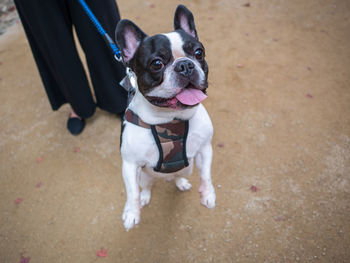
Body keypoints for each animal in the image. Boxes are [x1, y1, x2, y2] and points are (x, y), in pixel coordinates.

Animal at [116, 4, 215, 231]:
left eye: (198, 53)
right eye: (156, 64)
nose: (185, 65)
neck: (170, 119)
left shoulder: (205, 148)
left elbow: (206, 174)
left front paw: (208, 195)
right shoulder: (130, 164)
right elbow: (132, 193)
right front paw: (131, 214)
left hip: (187, 169)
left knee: (178, 175)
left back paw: (180, 182)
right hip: (144, 176)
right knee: (145, 187)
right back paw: (146, 197)